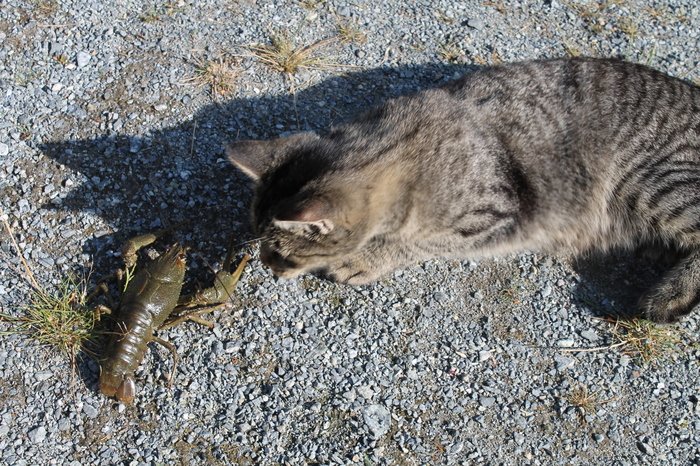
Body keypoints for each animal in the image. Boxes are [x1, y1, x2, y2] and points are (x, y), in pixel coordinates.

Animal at [228, 56, 700, 322]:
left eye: (284, 255)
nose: (268, 267)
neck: (403, 147)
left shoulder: (496, 215)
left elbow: (420, 242)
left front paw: (369, 258)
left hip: (657, 180)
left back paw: (671, 294)